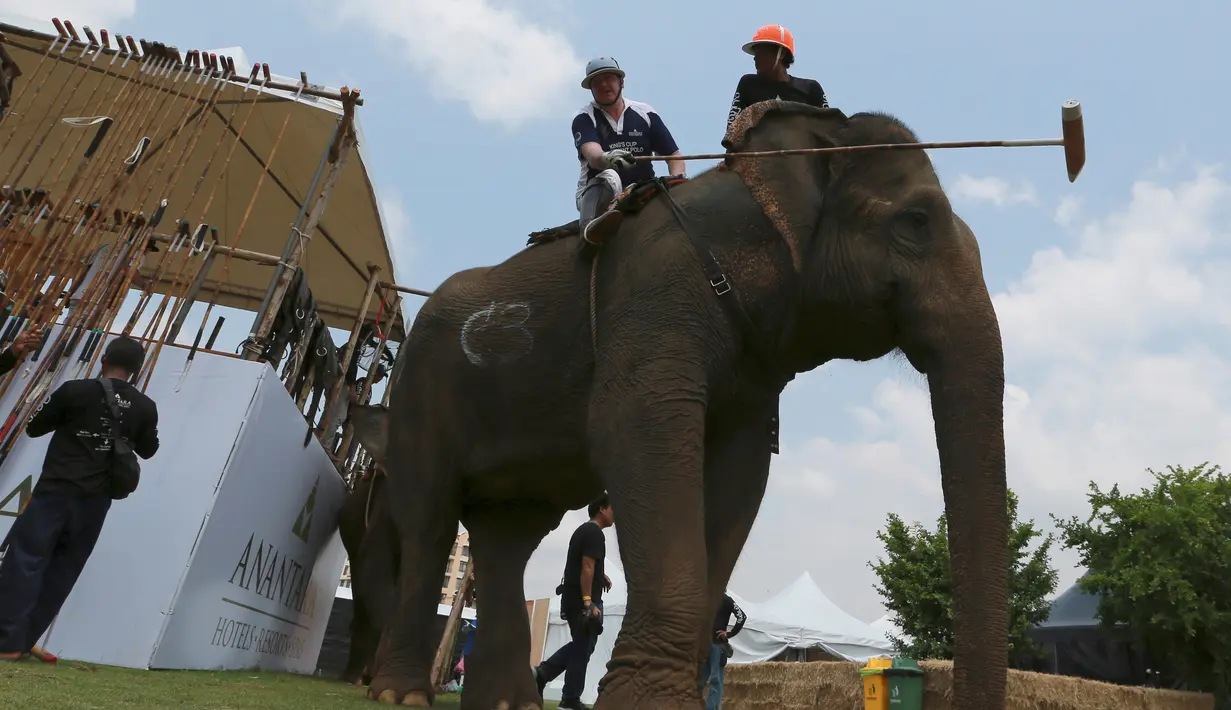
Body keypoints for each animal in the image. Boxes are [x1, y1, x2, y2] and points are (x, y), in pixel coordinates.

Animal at [348, 99, 1009, 710]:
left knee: (507, 534)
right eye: (916, 221)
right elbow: (634, 433)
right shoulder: (656, 294)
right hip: (419, 391)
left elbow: (741, 476)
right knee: (431, 520)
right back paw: (401, 694)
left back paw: (508, 703)